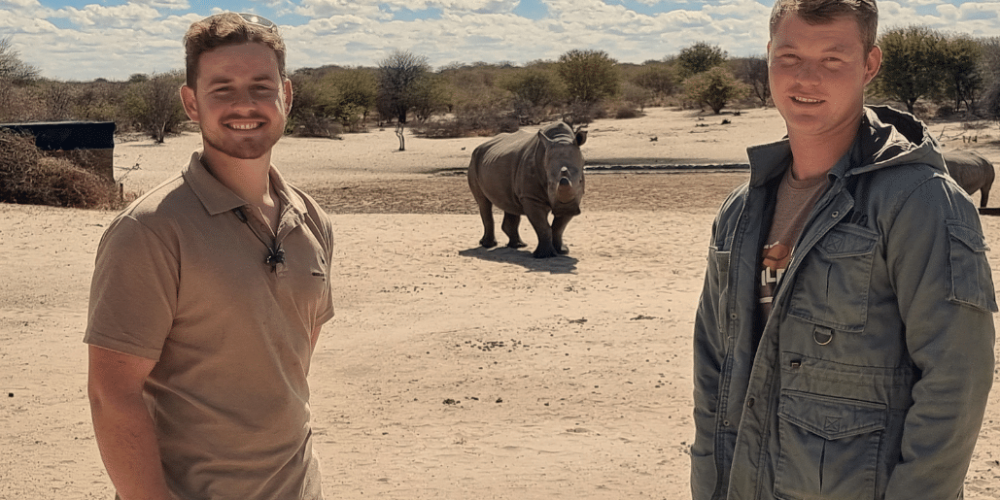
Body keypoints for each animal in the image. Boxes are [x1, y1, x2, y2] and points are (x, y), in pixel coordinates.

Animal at [468, 121, 587, 258]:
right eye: (549, 183)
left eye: (580, 181)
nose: (565, 209)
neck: (561, 138)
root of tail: (480, 146)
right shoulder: (530, 197)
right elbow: (543, 226)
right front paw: (545, 256)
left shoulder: (575, 199)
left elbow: (558, 227)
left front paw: (562, 251)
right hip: (473, 162)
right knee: (483, 203)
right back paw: (488, 245)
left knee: (509, 203)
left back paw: (518, 245)